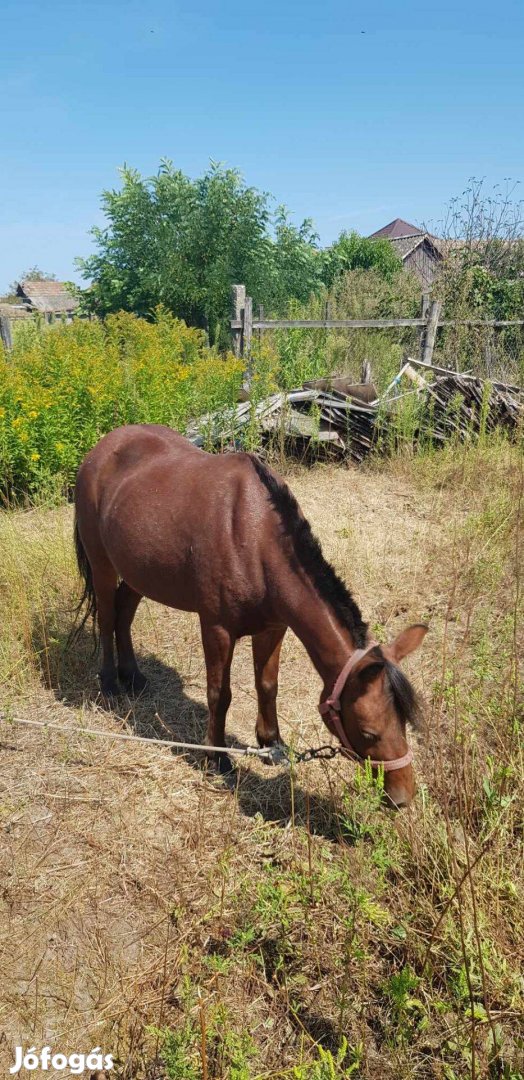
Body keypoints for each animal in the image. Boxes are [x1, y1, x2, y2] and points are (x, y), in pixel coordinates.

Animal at [72, 425, 425, 807]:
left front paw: (272, 744)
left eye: (404, 722)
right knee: (107, 617)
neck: (253, 538)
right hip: (103, 565)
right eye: (369, 732)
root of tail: (102, 448)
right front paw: (217, 757)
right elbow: (219, 694)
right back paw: (110, 682)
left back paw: (133, 676)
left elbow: (267, 685)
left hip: (139, 571)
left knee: (123, 612)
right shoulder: (216, 629)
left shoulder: (274, 627)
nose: (403, 797)